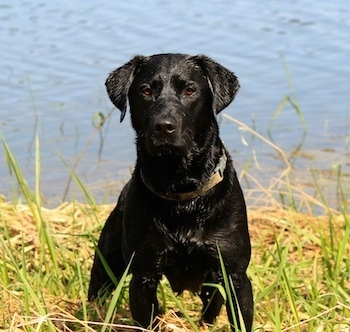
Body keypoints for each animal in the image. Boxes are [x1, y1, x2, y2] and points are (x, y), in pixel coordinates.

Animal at [87, 53, 252, 330]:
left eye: (189, 90)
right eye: (145, 91)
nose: (164, 126)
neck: (181, 188)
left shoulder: (235, 276)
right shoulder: (143, 277)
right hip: (107, 264)